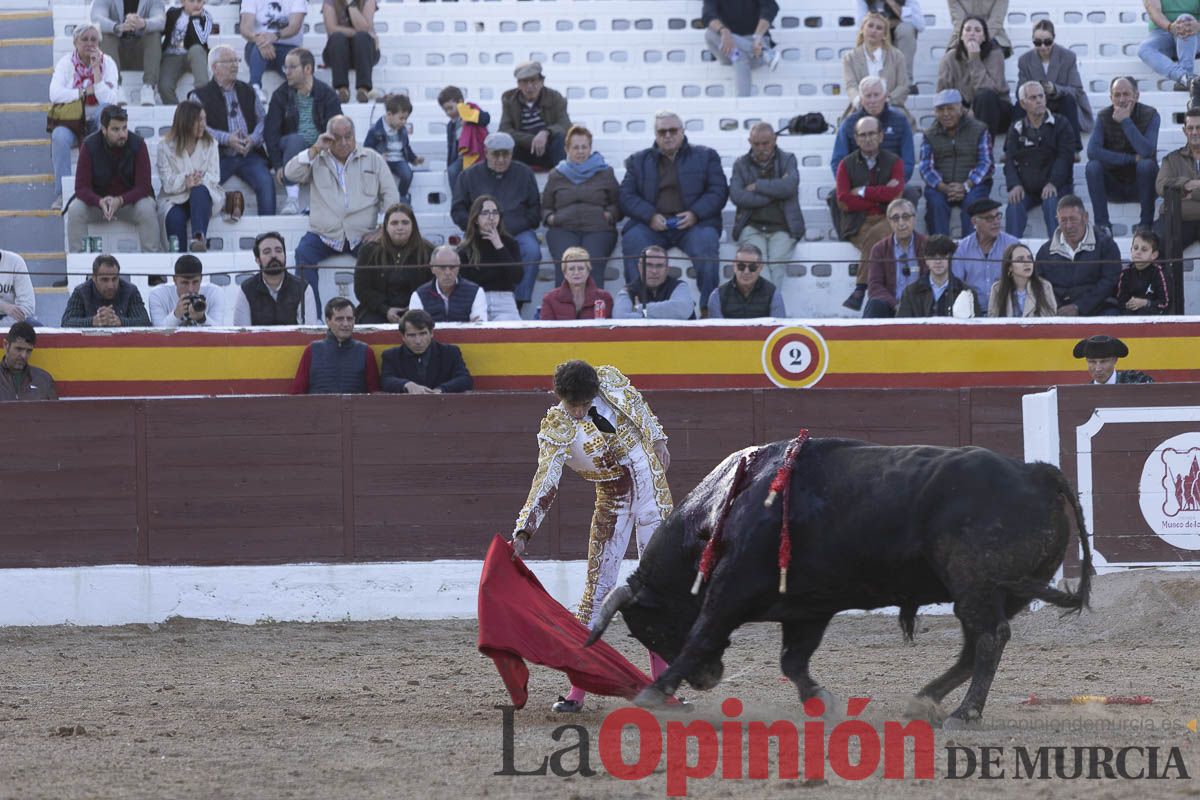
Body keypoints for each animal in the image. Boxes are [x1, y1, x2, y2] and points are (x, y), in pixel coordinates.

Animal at [585, 441, 1094, 729]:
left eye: (649, 629)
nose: (707, 681)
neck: (724, 511)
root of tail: (1036, 471)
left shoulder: (730, 592)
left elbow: (701, 635)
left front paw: (653, 693)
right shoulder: (807, 606)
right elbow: (792, 660)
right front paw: (820, 700)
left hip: (974, 585)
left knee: (989, 639)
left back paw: (963, 714)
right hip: (998, 593)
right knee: (976, 645)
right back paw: (923, 702)